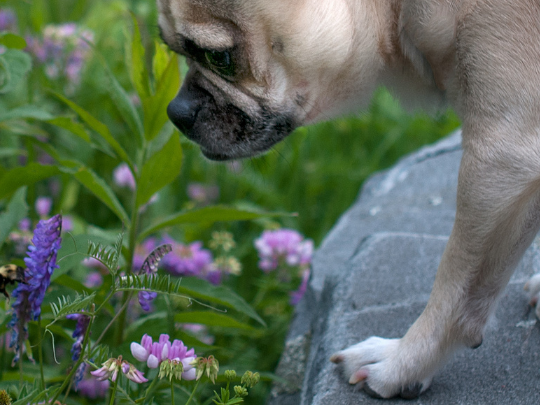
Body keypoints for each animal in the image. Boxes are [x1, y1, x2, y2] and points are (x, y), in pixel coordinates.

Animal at [156, 0, 540, 398]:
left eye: (219, 58)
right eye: (171, 48)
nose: (176, 112)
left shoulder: (501, 158)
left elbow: (457, 292)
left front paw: (402, 364)